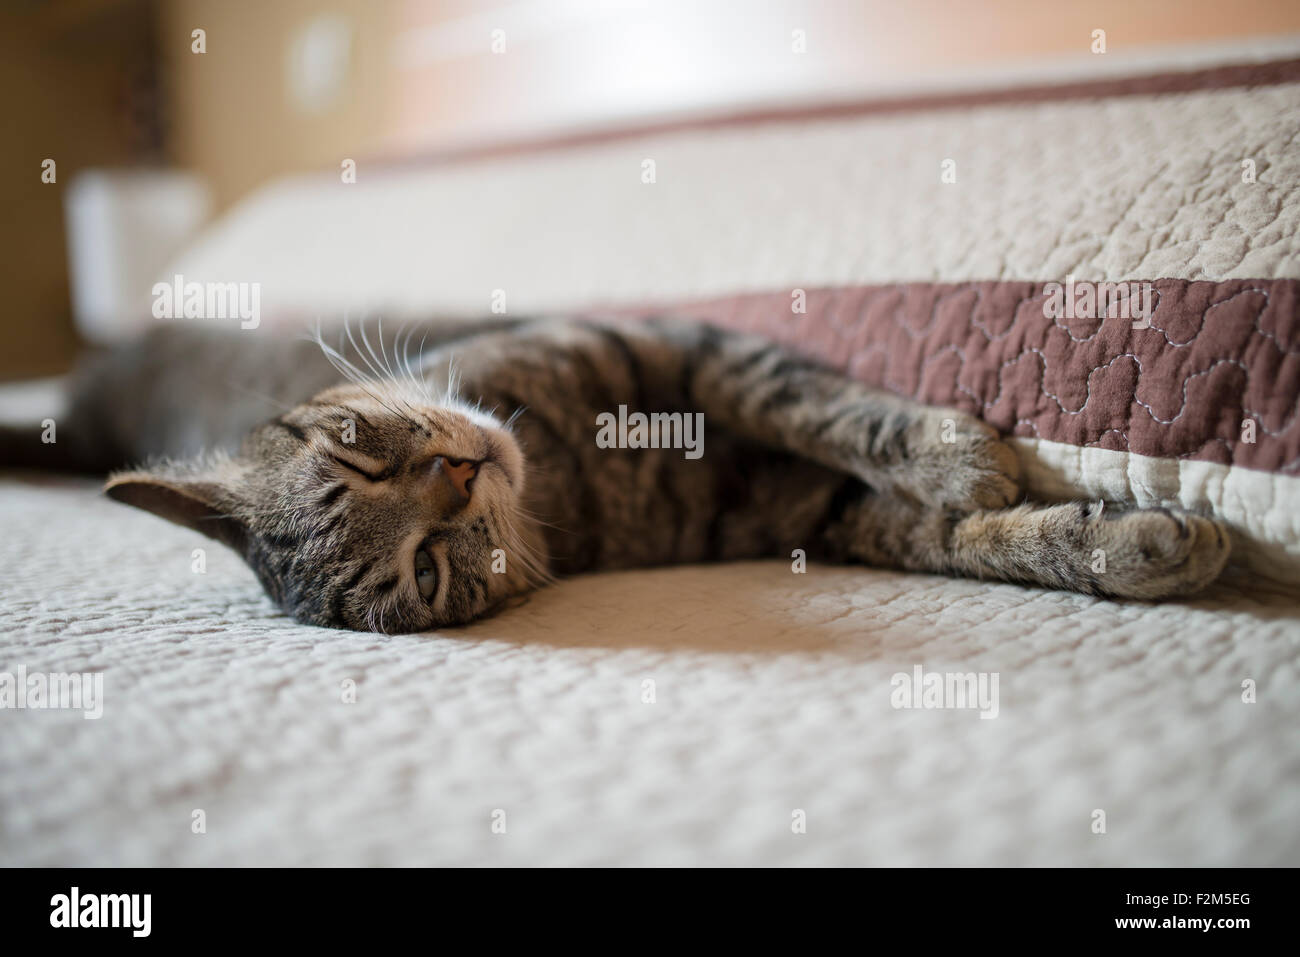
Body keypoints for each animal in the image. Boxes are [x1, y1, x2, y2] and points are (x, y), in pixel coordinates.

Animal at [0, 317, 1227, 631]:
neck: (564, 469)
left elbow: (822, 405)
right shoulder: (804, 511)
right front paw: (1131, 542)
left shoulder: (687, 349)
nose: (457, 472)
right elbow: (951, 536)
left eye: (353, 444)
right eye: (426, 574)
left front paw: (954, 449)